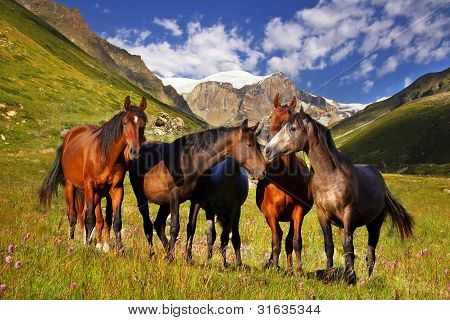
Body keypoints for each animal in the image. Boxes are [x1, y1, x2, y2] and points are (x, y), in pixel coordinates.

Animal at [39, 95, 148, 252]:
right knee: (73, 215)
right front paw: (88, 248)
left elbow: (116, 221)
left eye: (143, 124)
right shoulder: (90, 186)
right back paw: (72, 240)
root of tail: (70, 135)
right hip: (71, 186)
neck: (107, 156)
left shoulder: (116, 189)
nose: (135, 152)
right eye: (125, 122)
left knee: (84, 214)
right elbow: (91, 219)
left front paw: (119, 250)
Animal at [128, 120, 266, 260]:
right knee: (148, 225)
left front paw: (188, 258)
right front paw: (172, 258)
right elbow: (174, 227)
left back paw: (167, 253)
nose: (263, 171)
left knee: (158, 224)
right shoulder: (174, 197)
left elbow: (191, 227)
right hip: (141, 197)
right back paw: (152, 254)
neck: (189, 160)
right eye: (249, 144)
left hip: (165, 203)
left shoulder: (196, 199)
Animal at [256, 94, 312, 274]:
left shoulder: (298, 211)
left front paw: (299, 270)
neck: (285, 179)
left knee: (288, 240)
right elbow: (275, 241)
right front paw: (274, 267)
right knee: (280, 237)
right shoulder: (271, 213)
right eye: (271, 117)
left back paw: (289, 268)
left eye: (291, 119)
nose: (269, 151)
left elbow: (296, 241)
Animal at [264, 109, 414, 284]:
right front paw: (330, 275)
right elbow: (330, 246)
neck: (330, 177)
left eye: (293, 128)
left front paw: (351, 278)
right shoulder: (323, 215)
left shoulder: (348, 214)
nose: (267, 150)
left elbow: (349, 247)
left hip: (374, 224)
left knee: (371, 254)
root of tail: (380, 180)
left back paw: (367, 280)